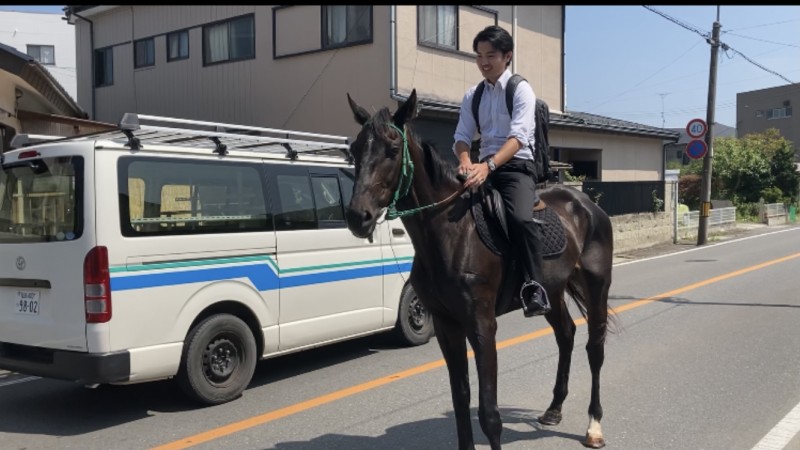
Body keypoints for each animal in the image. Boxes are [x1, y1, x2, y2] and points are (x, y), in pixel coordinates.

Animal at [344, 89, 615, 450]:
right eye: (355, 151)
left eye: (392, 149)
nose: (357, 216)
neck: (451, 233)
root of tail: (586, 204)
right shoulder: (446, 325)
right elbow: (461, 399)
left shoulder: (482, 325)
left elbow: (489, 413)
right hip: (553, 290)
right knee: (566, 335)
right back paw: (554, 409)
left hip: (597, 284)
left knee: (595, 349)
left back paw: (594, 426)